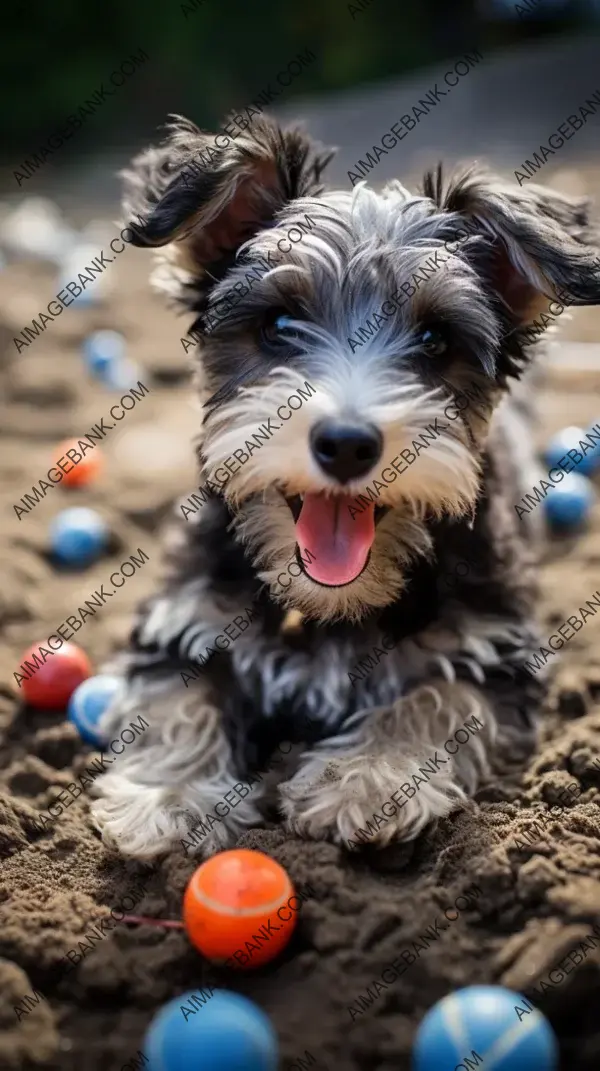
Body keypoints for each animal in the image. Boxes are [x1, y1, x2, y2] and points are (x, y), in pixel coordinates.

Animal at [88, 112, 600, 856]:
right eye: (278, 324)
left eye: (435, 340)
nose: (348, 442)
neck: (327, 607)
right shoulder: (185, 616)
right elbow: (178, 698)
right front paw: (167, 795)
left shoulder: (494, 648)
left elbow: (438, 697)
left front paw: (366, 778)